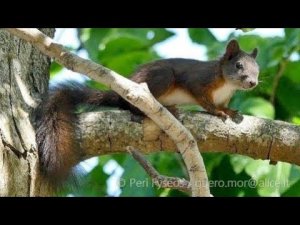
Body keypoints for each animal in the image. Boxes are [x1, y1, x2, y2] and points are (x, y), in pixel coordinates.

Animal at [35, 40, 258, 186]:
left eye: (257, 68)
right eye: (238, 65)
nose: (253, 83)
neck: (227, 85)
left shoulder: (224, 97)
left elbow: (224, 105)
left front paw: (230, 111)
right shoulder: (198, 81)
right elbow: (204, 101)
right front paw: (217, 112)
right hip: (161, 77)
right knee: (132, 106)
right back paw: (159, 110)